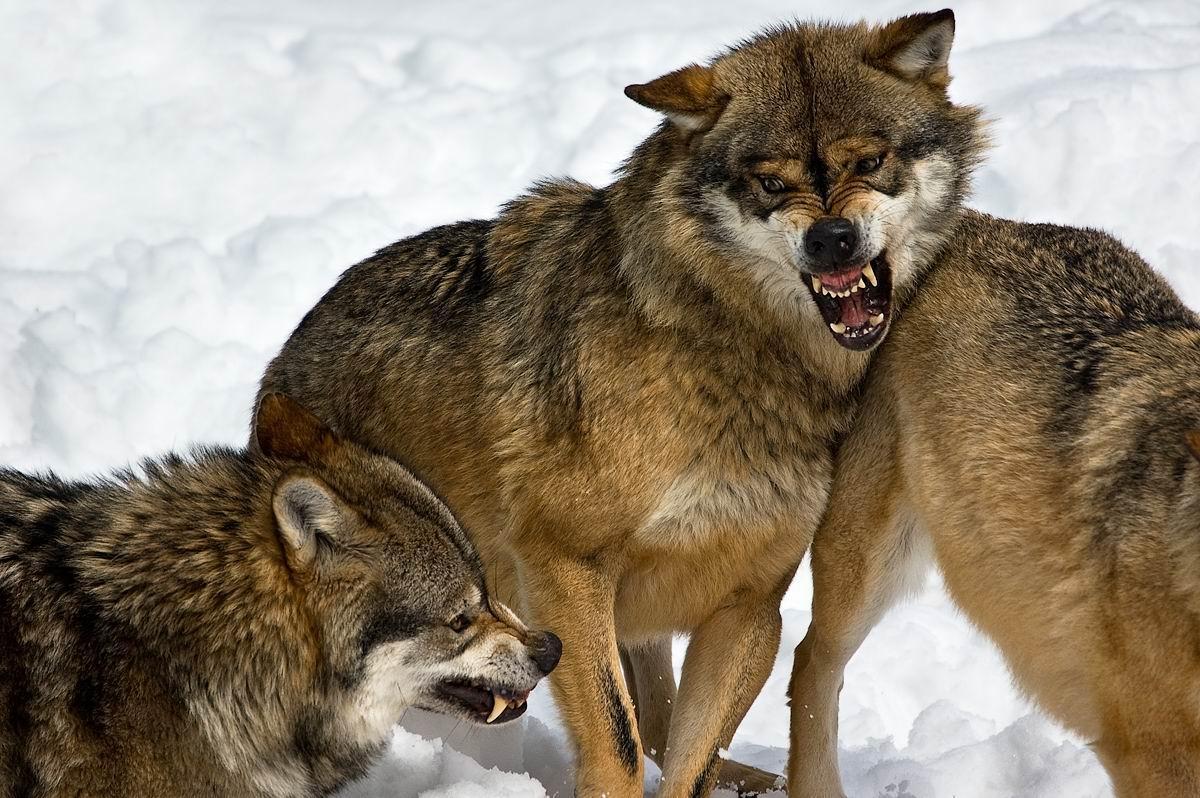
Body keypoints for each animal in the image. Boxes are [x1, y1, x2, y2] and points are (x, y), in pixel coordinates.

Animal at [257, 10, 983, 795]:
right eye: (771, 183)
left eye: (869, 162)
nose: (832, 239)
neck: (735, 356)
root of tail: (283, 365)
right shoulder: (565, 568)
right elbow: (617, 738)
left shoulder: (749, 607)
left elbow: (686, 759)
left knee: (669, 727)